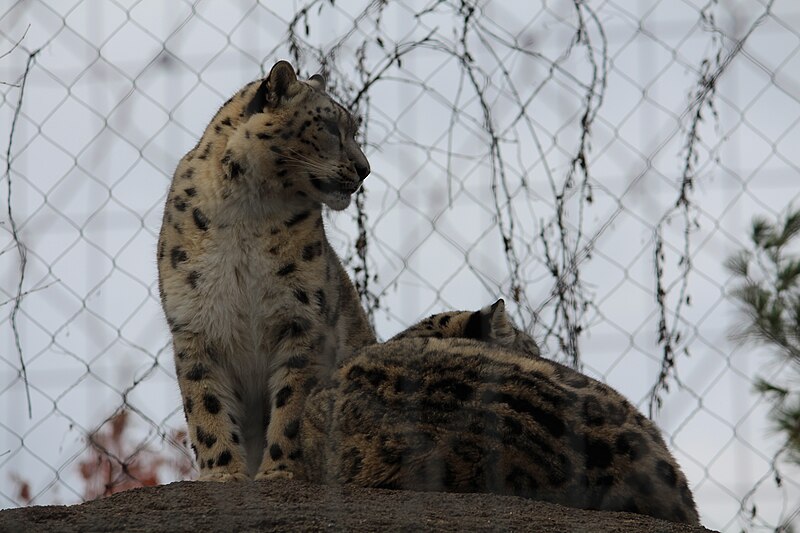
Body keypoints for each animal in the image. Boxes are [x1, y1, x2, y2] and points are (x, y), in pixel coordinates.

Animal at [161, 60, 380, 480]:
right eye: (331, 127)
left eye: (353, 130)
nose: (365, 170)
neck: (247, 210)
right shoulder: (193, 325)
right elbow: (206, 404)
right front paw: (223, 472)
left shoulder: (302, 319)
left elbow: (292, 403)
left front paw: (279, 471)